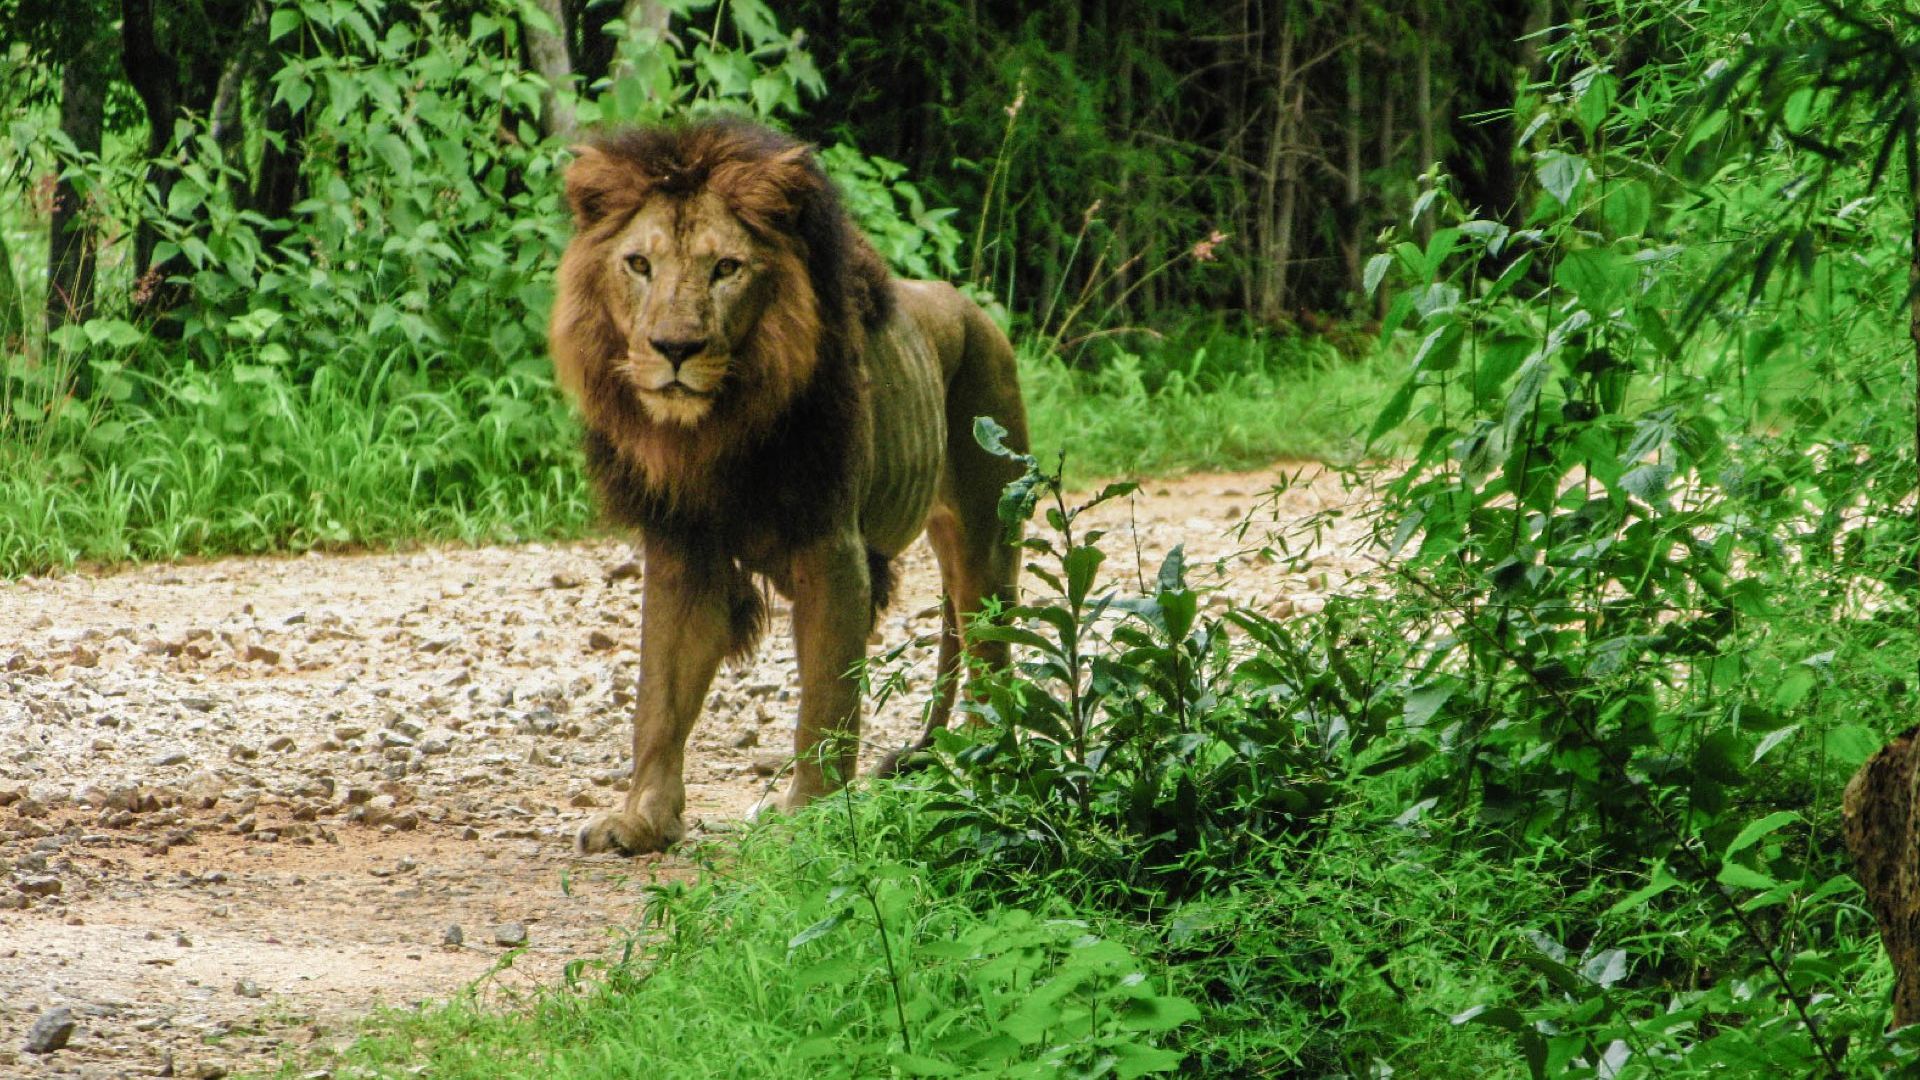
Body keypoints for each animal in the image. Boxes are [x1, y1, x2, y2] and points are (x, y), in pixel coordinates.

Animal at [549, 117, 1029, 853]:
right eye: (639, 265)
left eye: (726, 268)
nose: (674, 349)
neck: (714, 432)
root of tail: (975, 312)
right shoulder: (682, 548)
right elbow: (658, 695)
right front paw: (641, 819)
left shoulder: (833, 550)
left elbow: (826, 701)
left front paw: (810, 816)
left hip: (989, 537)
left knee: (991, 661)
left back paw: (986, 769)